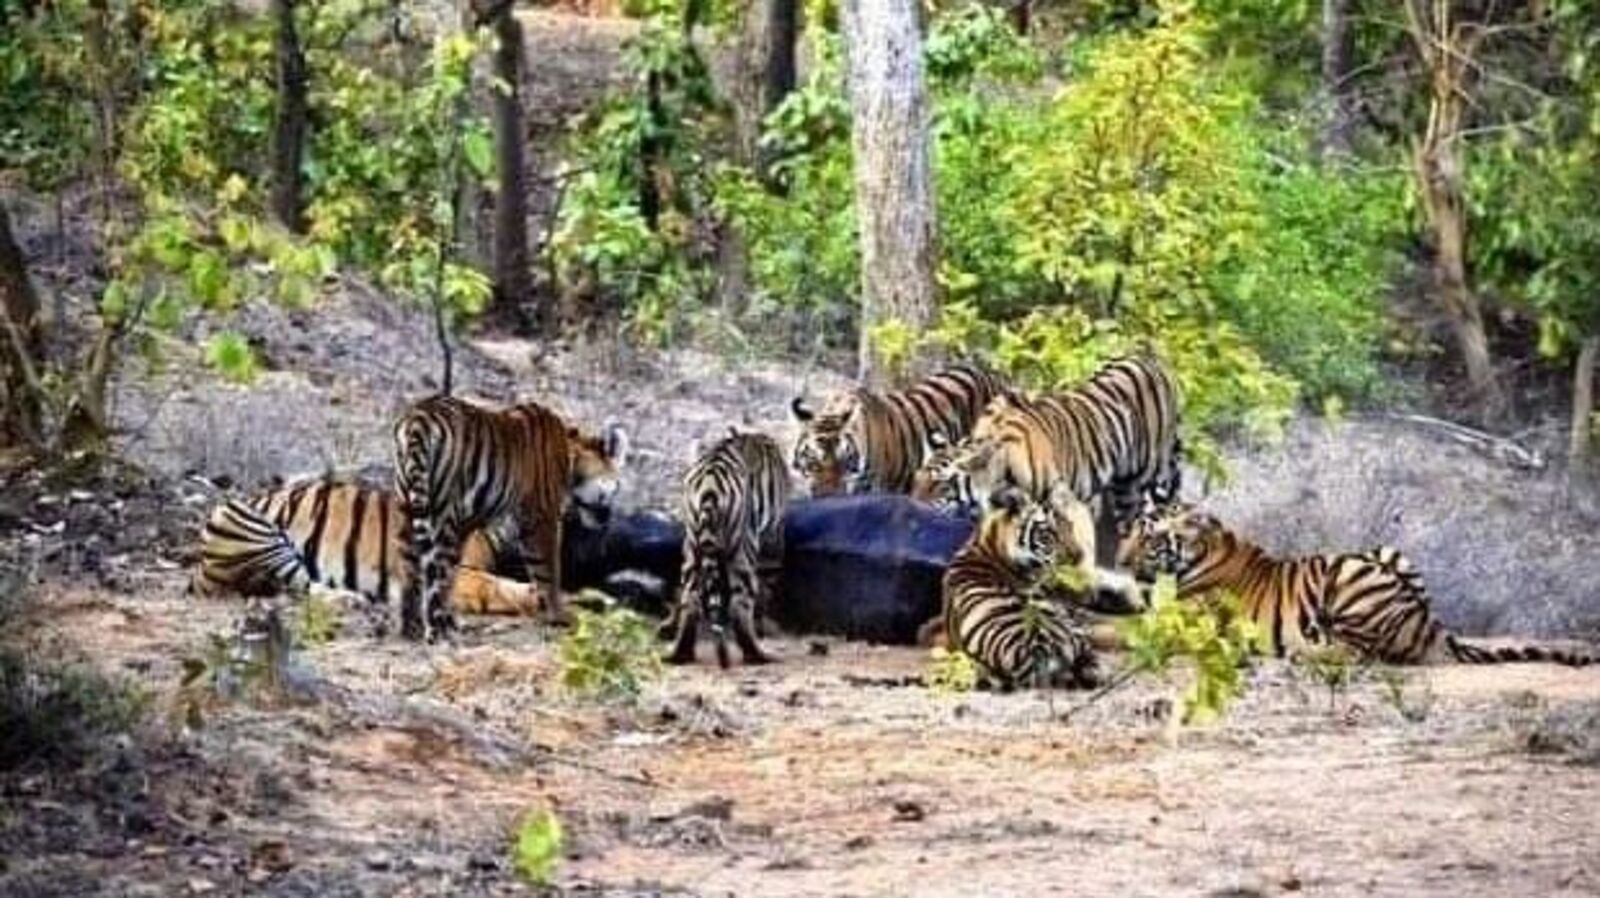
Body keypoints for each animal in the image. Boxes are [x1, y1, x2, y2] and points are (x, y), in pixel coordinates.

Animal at [394, 395, 628, 641]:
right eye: (616, 487)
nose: (608, 518)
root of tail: (418, 419)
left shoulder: (469, 527)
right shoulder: (541, 518)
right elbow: (546, 573)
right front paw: (563, 613)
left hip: (407, 507)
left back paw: (413, 627)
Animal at [667, 429, 791, 668]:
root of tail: (709, 485)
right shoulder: (771, 537)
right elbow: (765, 587)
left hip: (691, 547)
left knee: (690, 599)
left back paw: (680, 654)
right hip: (744, 548)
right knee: (740, 605)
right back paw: (757, 655)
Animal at [912, 355, 1182, 564]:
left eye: (942, 485)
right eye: (916, 481)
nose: (912, 506)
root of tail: (1152, 361)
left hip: (1151, 477)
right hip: (1121, 488)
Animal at [1116, 503, 1599, 667]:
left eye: (1151, 539)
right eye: (1129, 532)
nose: (1119, 561)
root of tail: (1431, 625)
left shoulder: (1177, 620)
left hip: (1348, 577)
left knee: (1362, 653)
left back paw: (1305, 653)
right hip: (1388, 552)